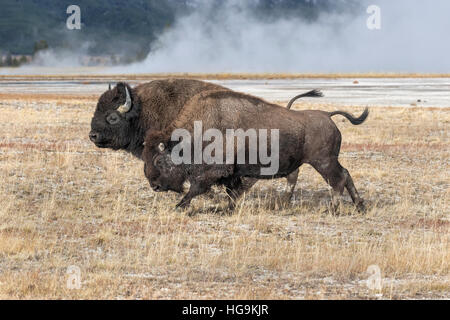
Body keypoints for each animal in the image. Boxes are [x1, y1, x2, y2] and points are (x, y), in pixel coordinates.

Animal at [144, 89, 370, 211]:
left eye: (159, 161)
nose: (155, 185)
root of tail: (327, 115)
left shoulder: (214, 172)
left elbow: (197, 189)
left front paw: (179, 206)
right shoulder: (233, 174)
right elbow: (232, 192)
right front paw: (227, 208)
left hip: (323, 162)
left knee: (338, 180)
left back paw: (333, 209)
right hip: (327, 161)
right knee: (345, 174)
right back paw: (359, 206)